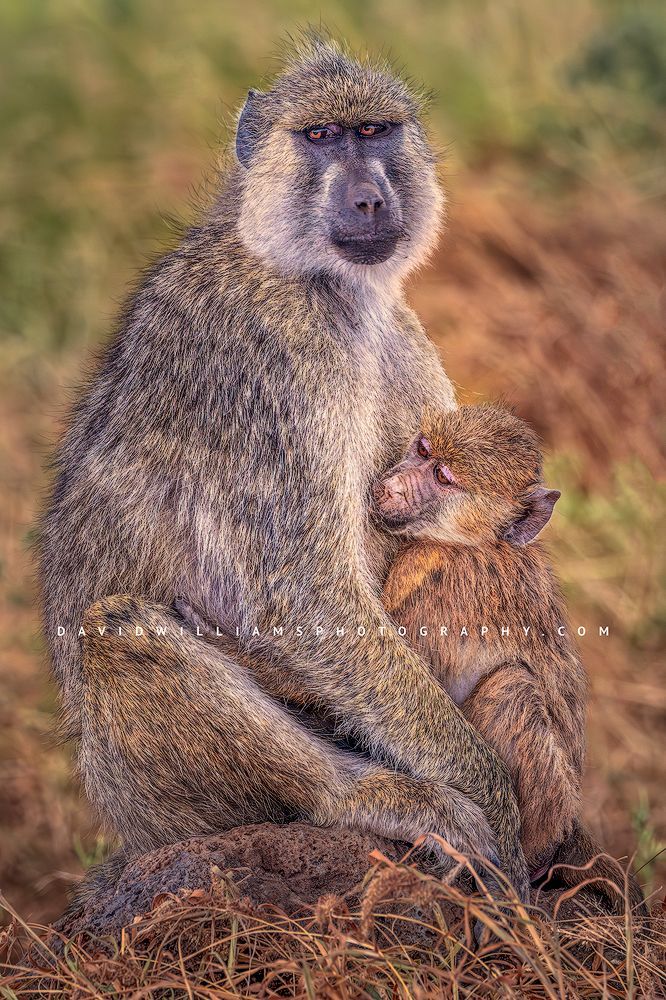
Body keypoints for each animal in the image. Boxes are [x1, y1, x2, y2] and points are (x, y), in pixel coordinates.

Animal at [39, 34, 530, 901]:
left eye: (374, 131)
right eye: (321, 138)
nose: (368, 202)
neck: (318, 282)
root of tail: (122, 827)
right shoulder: (276, 360)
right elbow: (304, 594)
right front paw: (495, 799)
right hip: (152, 797)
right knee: (116, 627)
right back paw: (372, 797)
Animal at [373, 402, 646, 913]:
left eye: (442, 477)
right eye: (423, 450)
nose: (392, 485)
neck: (477, 542)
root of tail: (563, 833)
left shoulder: (423, 571)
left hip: (541, 818)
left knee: (511, 687)